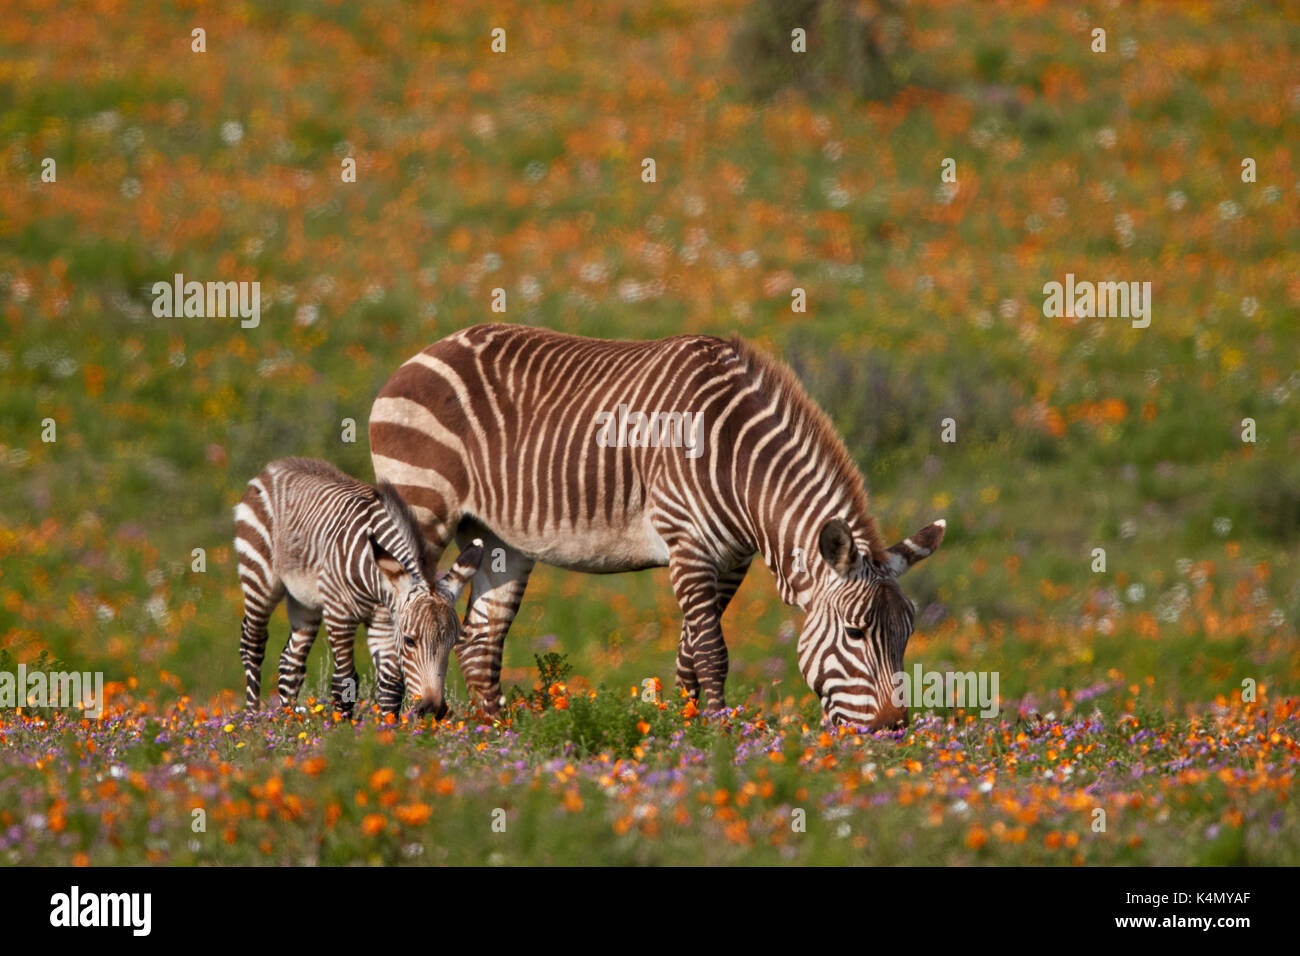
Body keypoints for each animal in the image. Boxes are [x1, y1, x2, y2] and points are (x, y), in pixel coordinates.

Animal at [235, 457, 483, 717]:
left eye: (452, 643)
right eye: (409, 641)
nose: (433, 709)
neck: (376, 582)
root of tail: (275, 467)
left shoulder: (383, 621)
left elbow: (391, 685)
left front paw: (389, 727)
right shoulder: (338, 614)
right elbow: (344, 681)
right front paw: (342, 726)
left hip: (304, 601)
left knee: (290, 661)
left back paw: (288, 720)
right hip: (259, 575)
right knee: (252, 643)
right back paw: (253, 717)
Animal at [369, 325, 946, 728]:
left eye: (907, 635)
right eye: (855, 633)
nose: (893, 728)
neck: (737, 459)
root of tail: (425, 353)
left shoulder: (730, 560)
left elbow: (689, 652)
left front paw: (685, 732)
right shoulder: (687, 543)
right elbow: (712, 653)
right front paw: (718, 735)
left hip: (498, 539)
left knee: (480, 643)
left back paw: (495, 744)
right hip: (423, 508)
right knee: (396, 620)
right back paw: (396, 729)